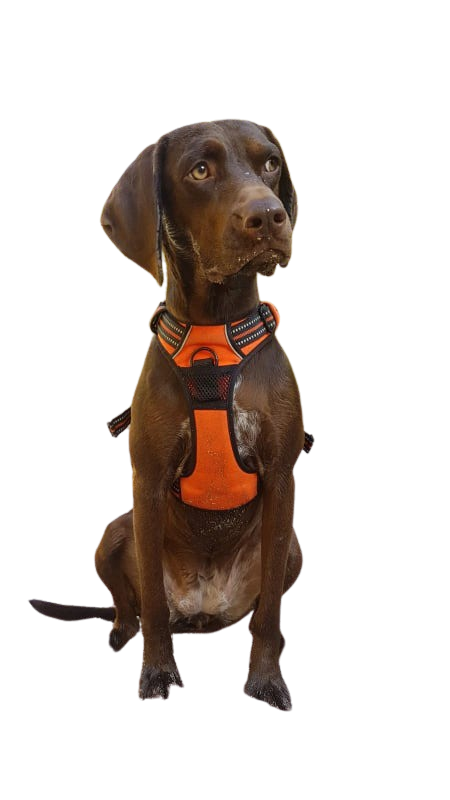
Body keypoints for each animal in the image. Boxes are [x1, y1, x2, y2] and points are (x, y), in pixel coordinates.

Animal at [29, 119, 313, 711]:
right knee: (133, 604)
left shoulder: (282, 480)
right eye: (200, 170)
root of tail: (204, 613)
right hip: (114, 531)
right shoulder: (149, 480)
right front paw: (157, 672)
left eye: (270, 163)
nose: (268, 215)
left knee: (262, 610)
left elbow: (272, 612)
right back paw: (122, 632)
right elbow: (154, 606)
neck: (214, 337)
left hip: (294, 545)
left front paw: (266, 681)